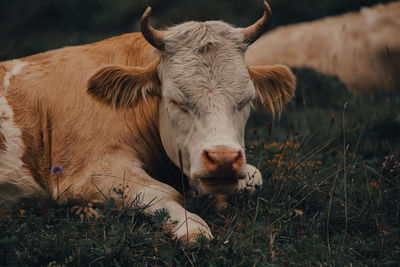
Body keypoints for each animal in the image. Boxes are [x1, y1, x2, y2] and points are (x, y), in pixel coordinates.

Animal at [0, 0, 294, 243]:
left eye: (245, 101)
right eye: (176, 101)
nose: (223, 159)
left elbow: (255, 177)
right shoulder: (88, 172)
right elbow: (163, 193)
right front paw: (190, 226)